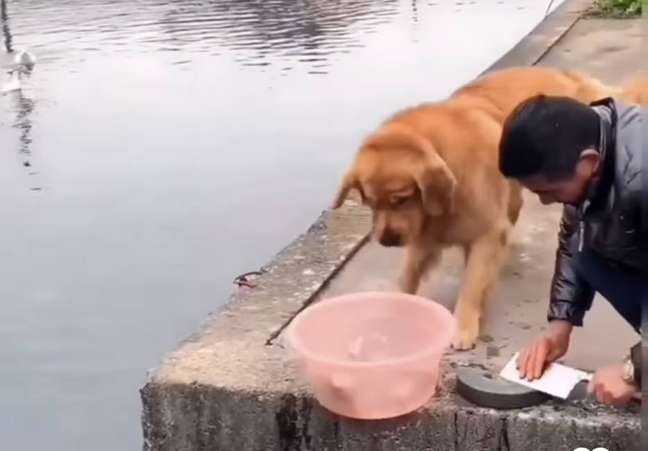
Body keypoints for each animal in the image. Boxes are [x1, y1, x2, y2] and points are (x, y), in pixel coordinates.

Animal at [334, 65, 628, 352]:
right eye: (371, 203)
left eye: (400, 199)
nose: (386, 240)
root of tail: (565, 76)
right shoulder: (424, 237)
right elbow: (407, 275)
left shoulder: (485, 234)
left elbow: (471, 285)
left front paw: (463, 326)